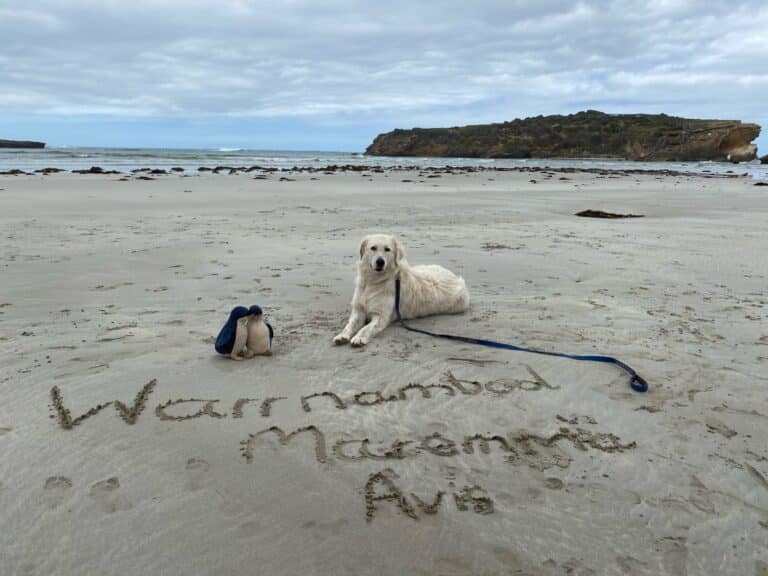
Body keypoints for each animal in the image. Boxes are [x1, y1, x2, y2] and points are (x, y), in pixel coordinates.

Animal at [334, 233, 472, 346]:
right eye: (373, 248)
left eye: (387, 249)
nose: (380, 262)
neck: (373, 282)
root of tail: (455, 277)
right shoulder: (358, 310)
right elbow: (349, 325)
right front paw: (342, 336)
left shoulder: (381, 316)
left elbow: (366, 328)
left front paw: (359, 338)